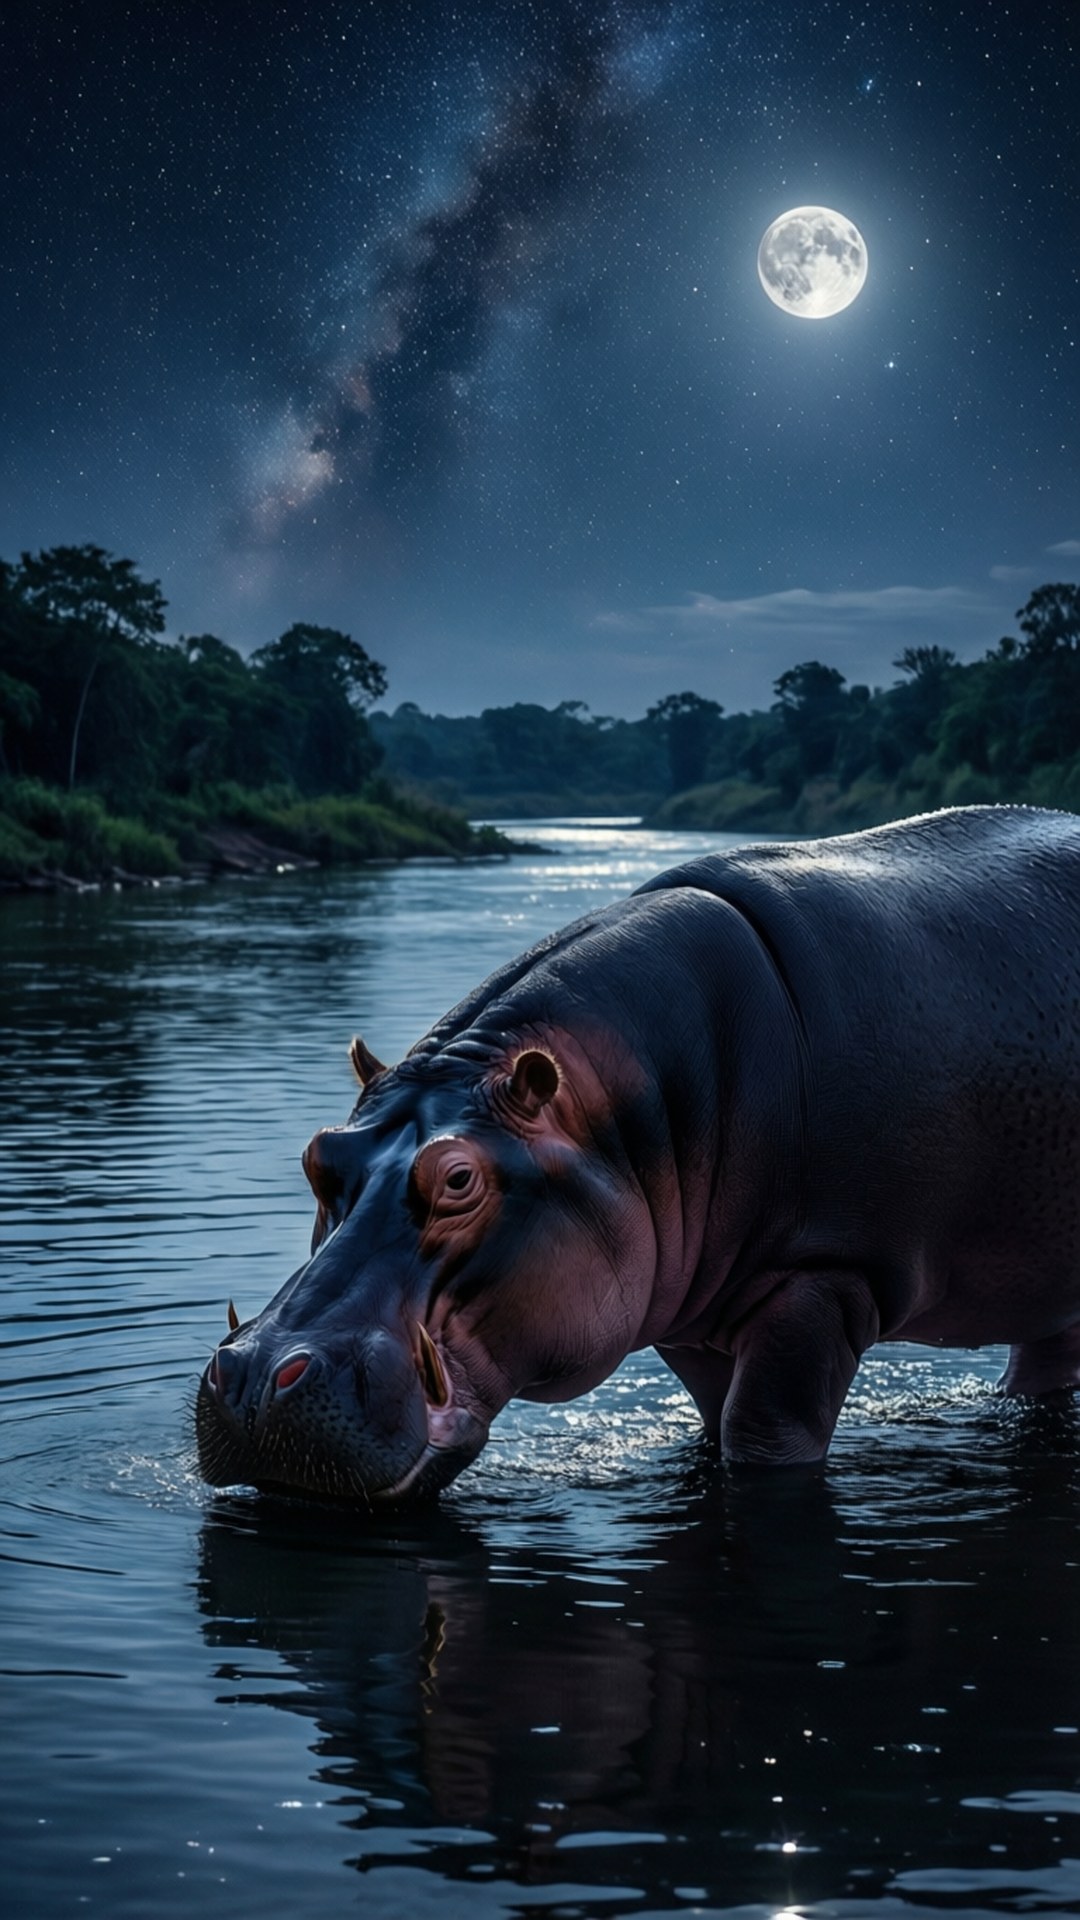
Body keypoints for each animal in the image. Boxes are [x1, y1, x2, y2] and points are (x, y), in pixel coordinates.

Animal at [196, 804, 1080, 1506]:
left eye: (458, 1178)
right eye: (319, 1156)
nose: (251, 1380)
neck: (624, 1111)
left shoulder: (824, 1278)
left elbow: (762, 1435)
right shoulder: (694, 1318)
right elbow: (715, 1422)